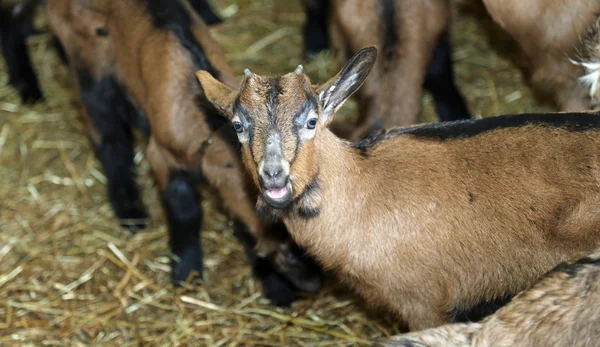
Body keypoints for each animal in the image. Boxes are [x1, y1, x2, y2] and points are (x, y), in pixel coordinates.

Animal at [47, 0, 322, 304]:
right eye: (290, 251)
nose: (314, 283)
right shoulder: (164, 156)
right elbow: (184, 211)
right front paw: (186, 273)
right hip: (87, 63)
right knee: (108, 134)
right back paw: (130, 211)